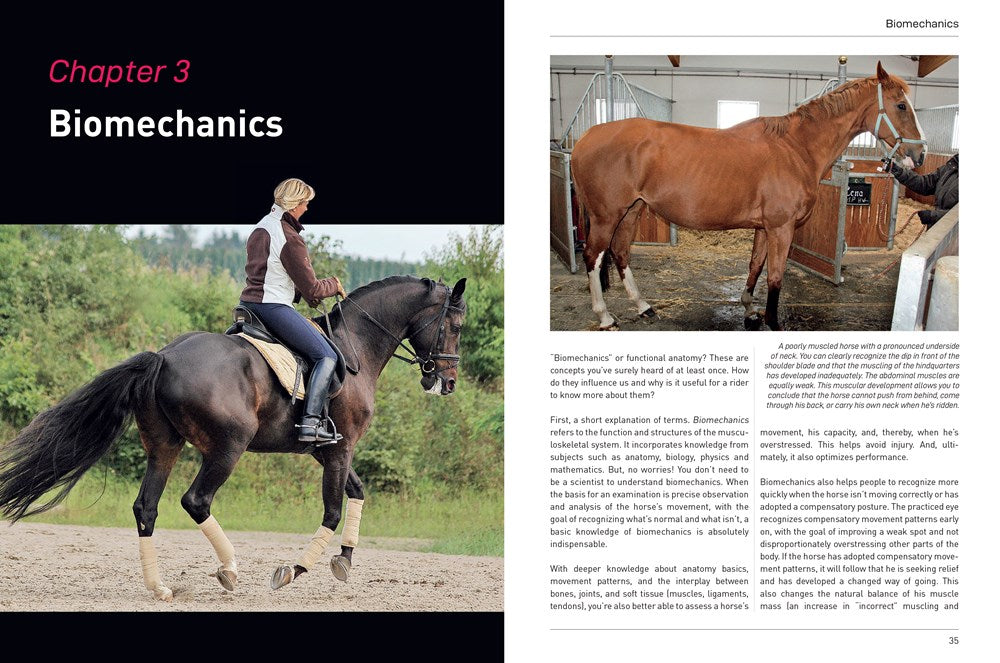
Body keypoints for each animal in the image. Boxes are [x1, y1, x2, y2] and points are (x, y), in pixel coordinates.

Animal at [0, 275, 467, 601]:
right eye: (455, 325)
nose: (447, 383)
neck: (356, 349)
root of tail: (163, 357)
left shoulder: (327, 450)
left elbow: (357, 491)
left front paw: (345, 559)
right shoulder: (341, 447)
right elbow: (333, 510)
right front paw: (293, 571)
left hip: (164, 447)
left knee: (146, 508)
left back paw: (161, 589)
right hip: (229, 446)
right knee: (196, 501)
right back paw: (229, 569)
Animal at [571, 61, 927, 331]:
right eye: (900, 105)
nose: (919, 155)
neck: (795, 148)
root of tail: (585, 137)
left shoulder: (764, 227)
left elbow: (756, 265)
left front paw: (749, 308)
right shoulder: (781, 228)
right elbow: (776, 277)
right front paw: (773, 321)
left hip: (631, 211)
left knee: (620, 252)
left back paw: (643, 305)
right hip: (606, 216)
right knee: (593, 256)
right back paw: (605, 316)